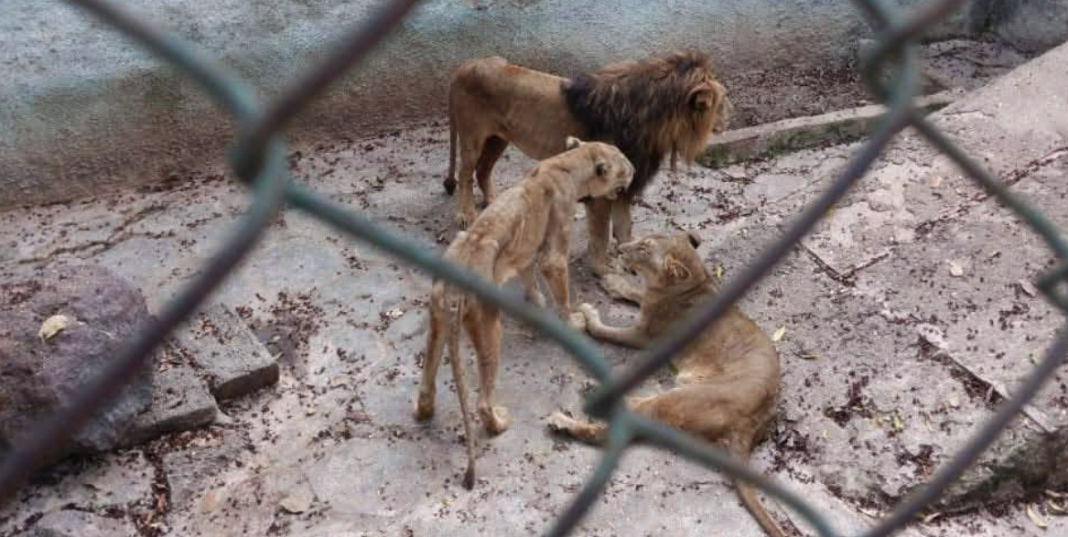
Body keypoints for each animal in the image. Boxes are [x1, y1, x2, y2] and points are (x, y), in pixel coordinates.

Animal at [413, 137, 634, 489]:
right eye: (624, 162)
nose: (635, 169)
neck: (569, 162)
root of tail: (454, 288)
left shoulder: (528, 250)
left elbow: (530, 276)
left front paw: (535, 302)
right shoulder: (554, 252)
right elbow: (561, 290)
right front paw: (572, 321)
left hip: (437, 320)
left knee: (426, 383)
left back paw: (424, 411)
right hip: (488, 325)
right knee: (482, 401)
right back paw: (499, 423)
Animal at [443, 50, 731, 296]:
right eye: (721, 102)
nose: (729, 119)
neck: (654, 124)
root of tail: (463, 66)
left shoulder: (625, 188)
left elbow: (624, 227)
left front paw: (635, 257)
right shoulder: (602, 192)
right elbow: (601, 234)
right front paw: (603, 268)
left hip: (498, 139)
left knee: (483, 171)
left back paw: (494, 202)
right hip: (472, 137)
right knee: (466, 174)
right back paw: (466, 215)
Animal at [549, 231, 789, 537]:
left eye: (642, 249)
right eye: (640, 240)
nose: (620, 248)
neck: (692, 282)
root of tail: (750, 424)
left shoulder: (644, 336)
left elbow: (604, 330)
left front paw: (590, 315)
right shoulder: (649, 303)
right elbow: (635, 292)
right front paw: (613, 282)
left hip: (681, 398)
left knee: (617, 427)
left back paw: (569, 416)